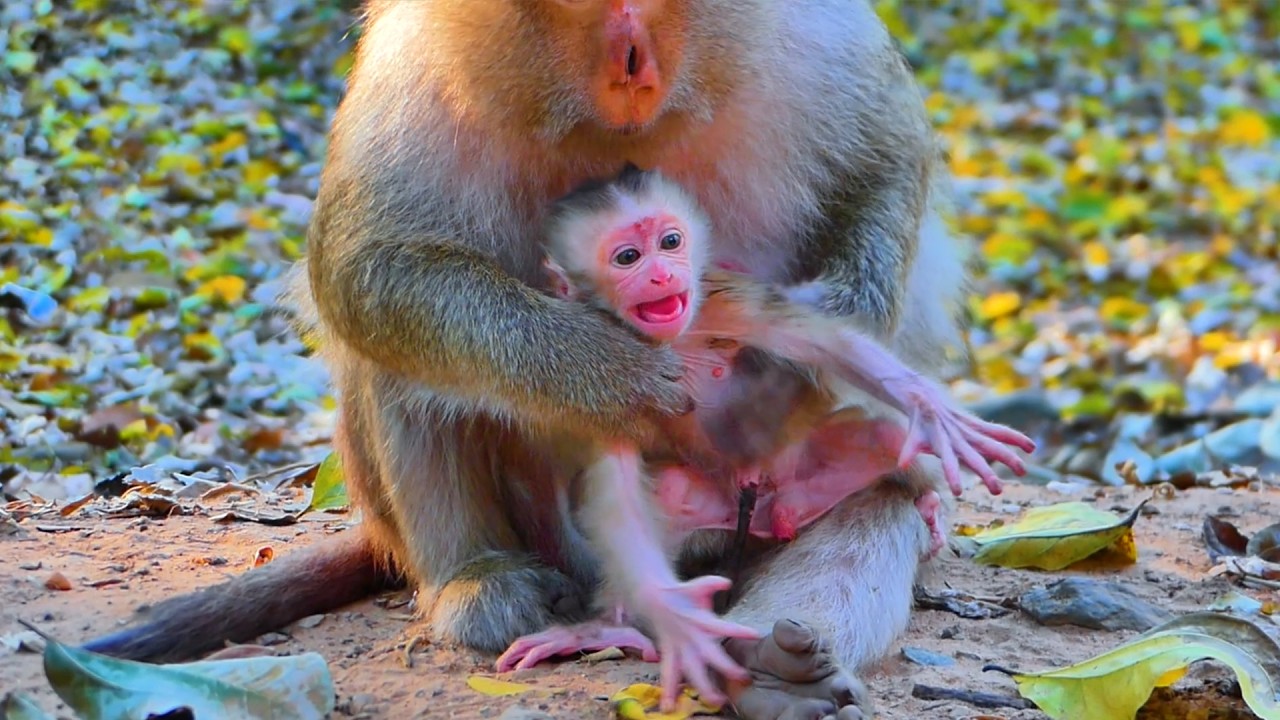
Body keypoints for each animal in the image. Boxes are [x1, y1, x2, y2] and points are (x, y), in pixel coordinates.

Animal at [82, 2, 1017, 716]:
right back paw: (486, 580)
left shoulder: (820, 33)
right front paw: (612, 374)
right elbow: (371, 268)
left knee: (877, 496)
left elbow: (888, 157)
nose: (633, 60)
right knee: (407, 364)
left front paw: (857, 321)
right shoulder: (412, 66)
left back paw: (785, 655)